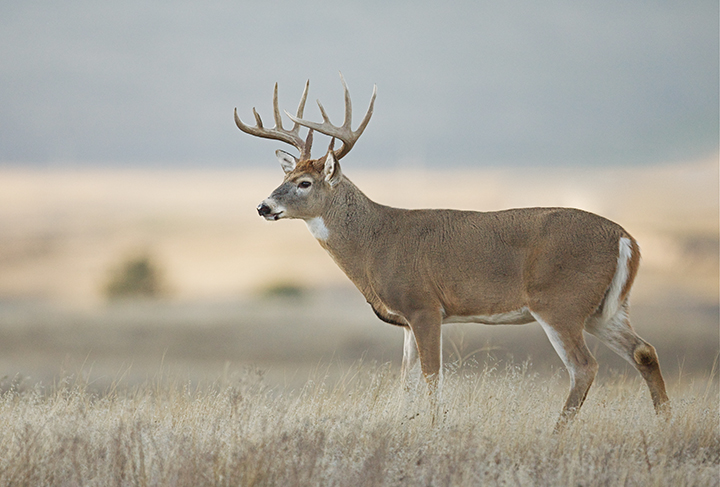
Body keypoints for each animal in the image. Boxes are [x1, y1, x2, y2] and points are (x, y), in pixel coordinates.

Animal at [234, 74, 670, 428]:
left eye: (304, 183)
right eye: (285, 175)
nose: (263, 207)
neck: (376, 242)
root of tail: (626, 238)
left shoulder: (425, 305)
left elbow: (431, 375)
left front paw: (434, 427)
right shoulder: (407, 320)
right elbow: (406, 380)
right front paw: (405, 425)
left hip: (560, 302)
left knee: (584, 366)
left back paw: (557, 433)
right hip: (603, 309)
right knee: (644, 351)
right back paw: (664, 423)